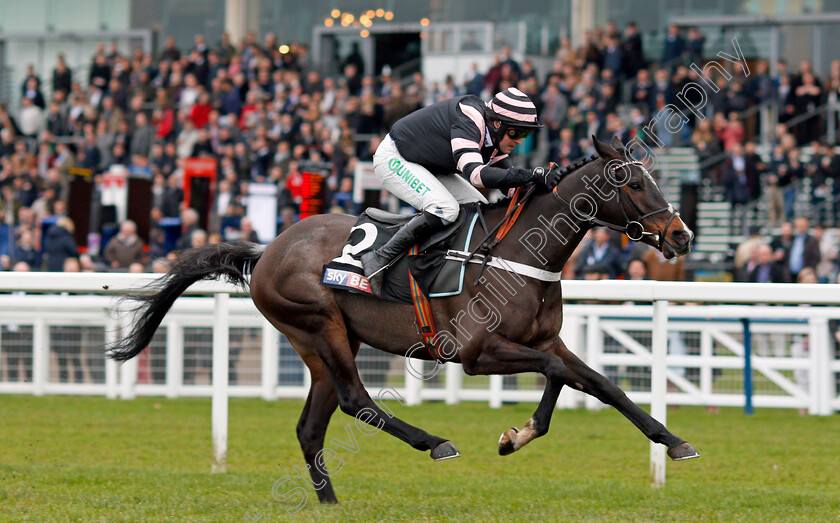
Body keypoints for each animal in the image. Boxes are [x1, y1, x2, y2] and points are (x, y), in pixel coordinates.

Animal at [113, 137, 704, 506]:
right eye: (633, 183)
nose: (681, 236)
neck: (516, 252)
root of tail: (267, 251)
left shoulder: (548, 340)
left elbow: (600, 384)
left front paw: (673, 441)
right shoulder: (476, 353)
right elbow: (560, 375)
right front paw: (516, 435)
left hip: (321, 343)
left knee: (311, 425)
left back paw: (329, 502)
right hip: (319, 325)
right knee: (355, 401)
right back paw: (434, 442)